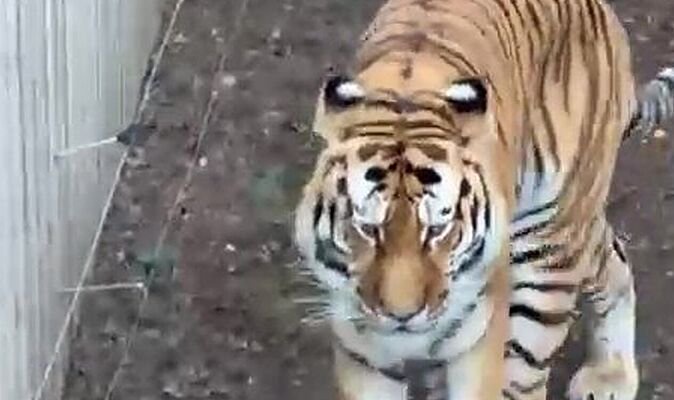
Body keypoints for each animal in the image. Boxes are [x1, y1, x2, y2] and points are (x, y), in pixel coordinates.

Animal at [292, 0, 674, 399]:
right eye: (367, 227)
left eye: (438, 229)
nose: (402, 317)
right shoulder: (362, 347)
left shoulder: (478, 337)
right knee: (613, 254)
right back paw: (610, 374)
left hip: (550, 244)